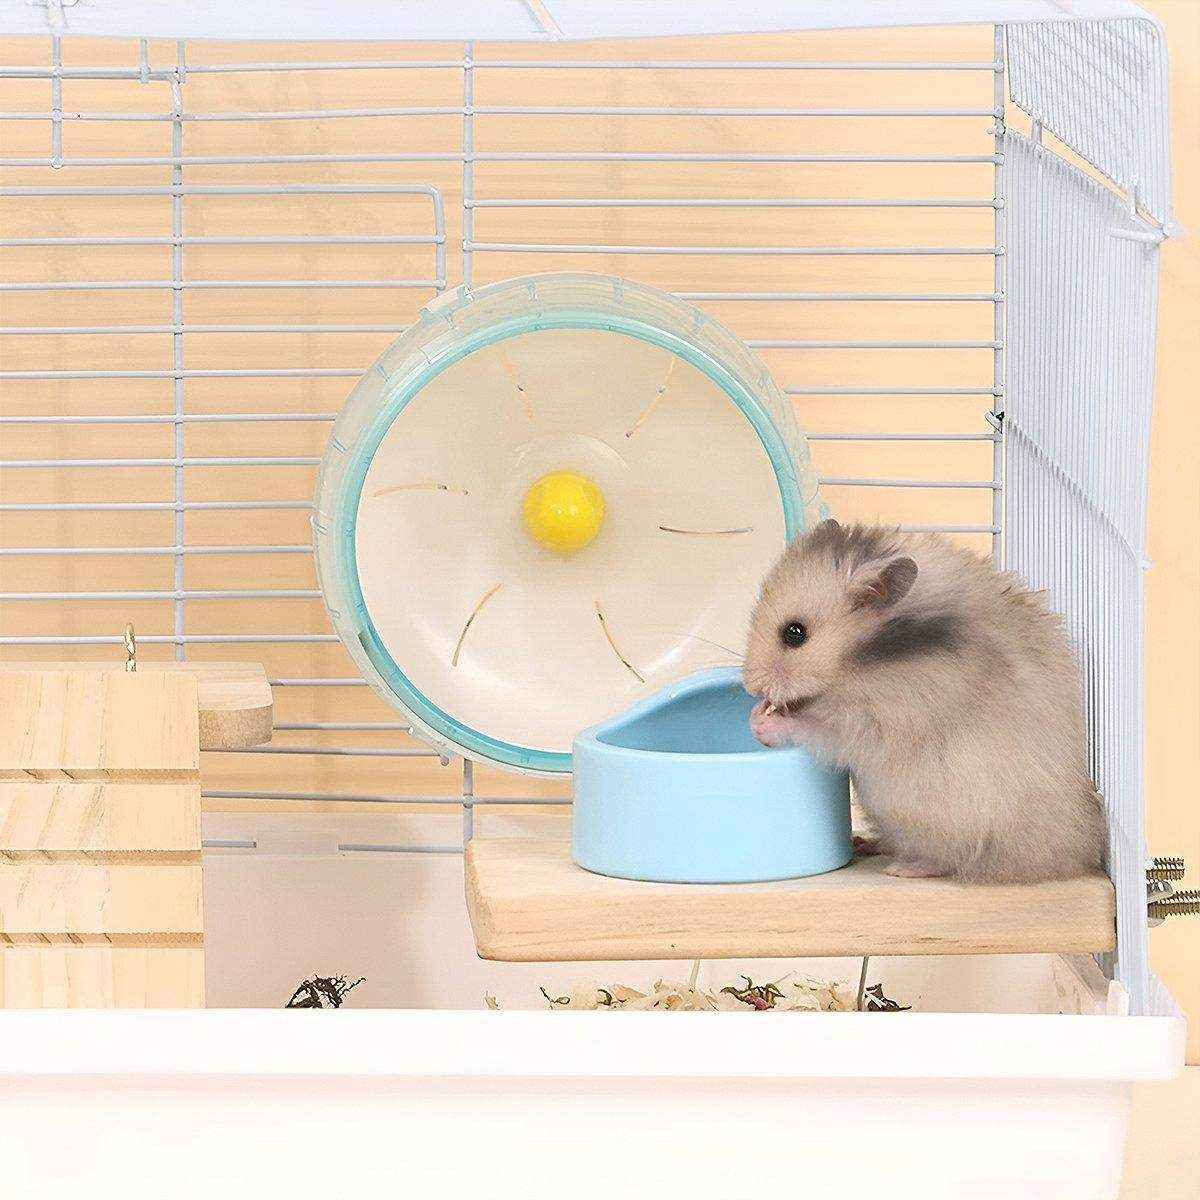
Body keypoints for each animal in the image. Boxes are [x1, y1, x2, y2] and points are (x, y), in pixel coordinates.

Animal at [743, 519, 1105, 884]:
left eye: (794, 633)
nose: (750, 686)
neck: (864, 661)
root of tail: (1080, 856)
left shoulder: (880, 721)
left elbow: (817, 728)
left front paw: (763, 719)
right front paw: (761, 709)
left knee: (952, 858)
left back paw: (904, 868)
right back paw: (864, 843)